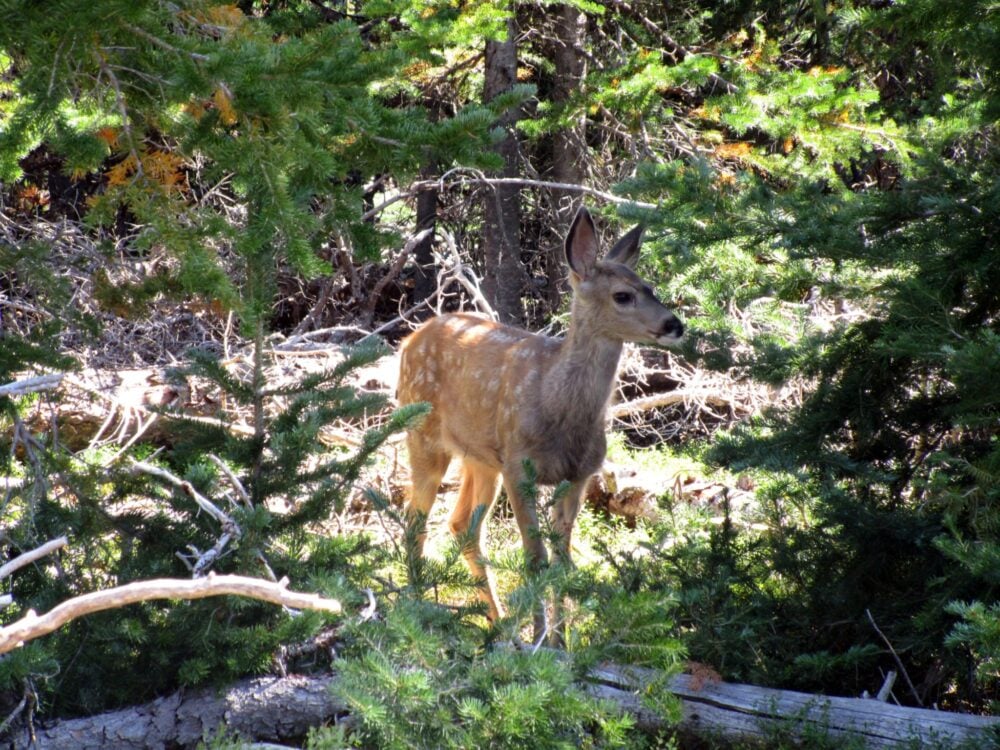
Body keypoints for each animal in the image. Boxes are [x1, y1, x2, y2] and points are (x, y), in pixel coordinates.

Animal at [394, 207, 684, 640]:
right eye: (623, 295)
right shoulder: (520, 468)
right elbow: (535, 558)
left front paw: (561, 641)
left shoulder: (578, 475)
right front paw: (542, 639)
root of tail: (408, 341)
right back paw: (418, 611)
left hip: (481, 459)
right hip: (424, 435)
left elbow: (563, 561)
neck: (560, 407)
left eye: (650, 287)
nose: (675, 325)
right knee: (415, 521)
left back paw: (499, 623)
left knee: (462, 525)